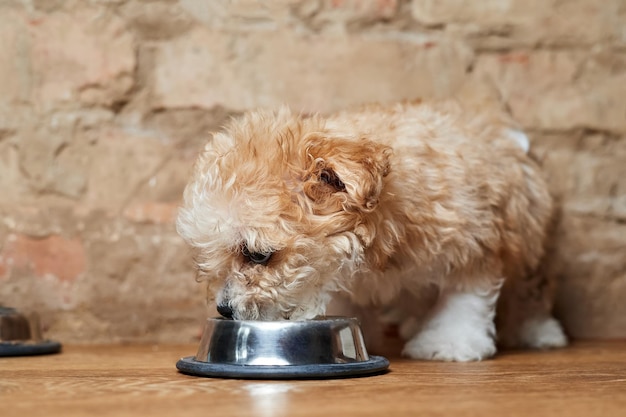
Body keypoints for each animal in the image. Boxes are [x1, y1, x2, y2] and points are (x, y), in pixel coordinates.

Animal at [176, 101, 564, 360]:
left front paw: (449, 344)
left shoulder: (475, 245)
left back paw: (539, 331)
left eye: (258, 255)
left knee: (531, 288)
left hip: (530, 239)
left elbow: (463, 300)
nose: (225, 309)